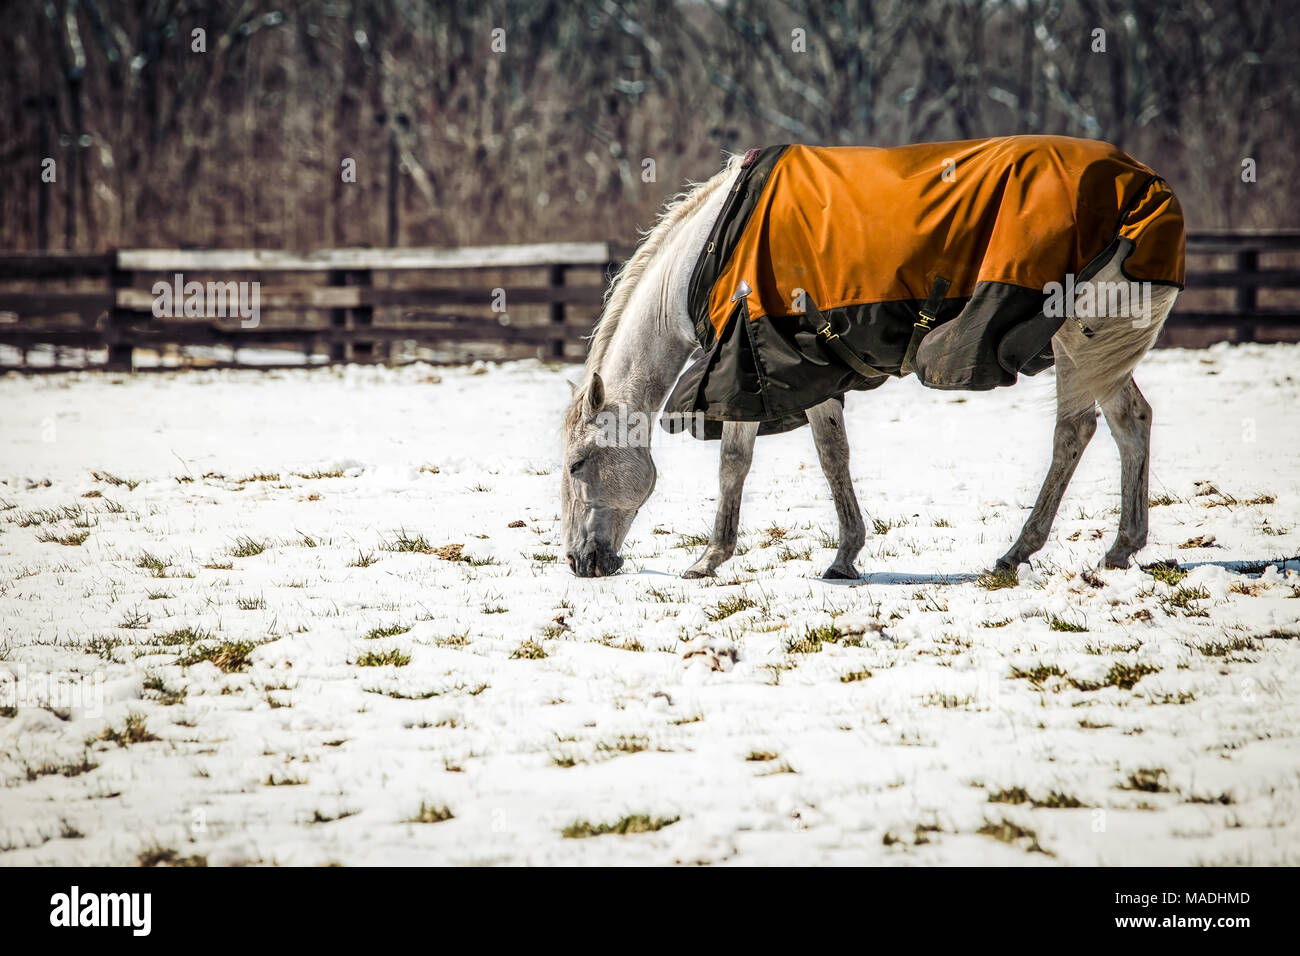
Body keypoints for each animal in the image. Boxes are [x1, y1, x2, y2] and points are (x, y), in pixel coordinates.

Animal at [559, 135, 1180, 580]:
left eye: (577, 465)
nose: (579, 563)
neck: (716, 247)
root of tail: (1147, 188)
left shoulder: (747, 365)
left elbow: (739, 463)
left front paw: (712, 557)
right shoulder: (801, 371)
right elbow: (832, 455)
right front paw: (845, 555)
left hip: (1077, 338)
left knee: (1075, 431)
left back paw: (1018, 551)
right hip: (1099, 345)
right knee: (1131, 422)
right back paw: (1122, 548)